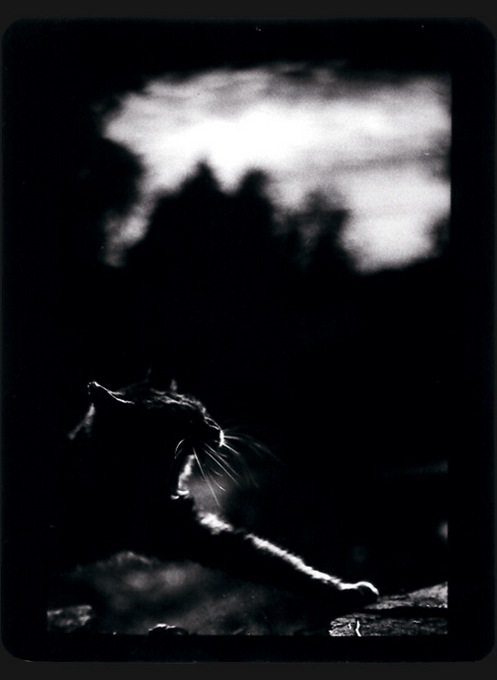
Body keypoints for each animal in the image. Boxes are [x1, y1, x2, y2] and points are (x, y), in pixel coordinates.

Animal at [49, 379, 378, 628]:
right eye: (183, 420)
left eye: (202, 411)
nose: (214, 426)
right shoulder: (173, 531)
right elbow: (270, 559)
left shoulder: (191, 532)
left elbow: (275, 561)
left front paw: (343, 590)